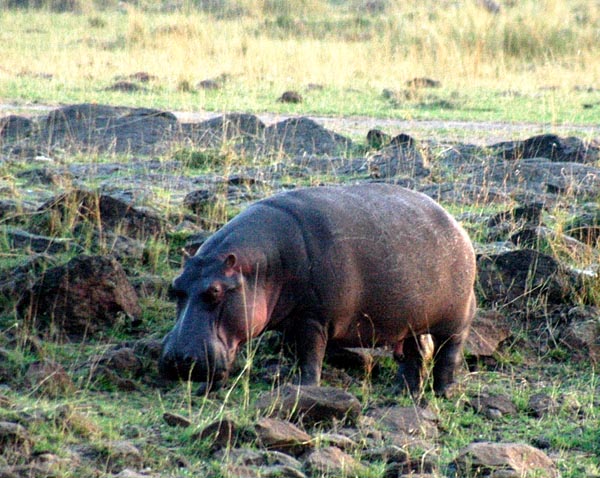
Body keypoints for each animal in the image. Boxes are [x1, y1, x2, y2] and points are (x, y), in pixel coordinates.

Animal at [159, 185, 478, 398]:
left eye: (214, 292)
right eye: (175, 288)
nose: (177, 360)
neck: (259, 267)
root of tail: (458, 228)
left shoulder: (313, 318)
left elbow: (310, 355)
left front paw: (302, 388)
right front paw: (204, 389)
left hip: (455, 320)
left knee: (447, 354)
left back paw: (443, 392)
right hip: (412, 321)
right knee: (415, 355)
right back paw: (403, 392)